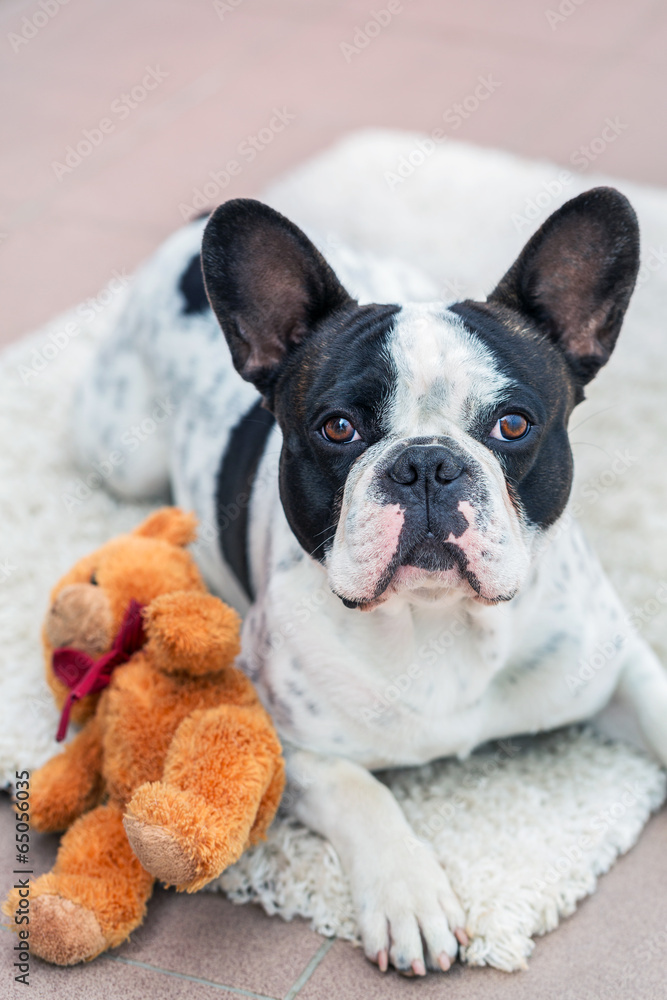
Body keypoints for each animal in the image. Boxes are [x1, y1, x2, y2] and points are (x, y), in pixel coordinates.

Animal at [73, 189, 667, 976]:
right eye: (338, 429)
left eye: (513, 425)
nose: (426, 463)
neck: (438, 619)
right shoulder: (283, 736)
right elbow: (361, 794)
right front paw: (410, 896)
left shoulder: (616, 662)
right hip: (118, 455)